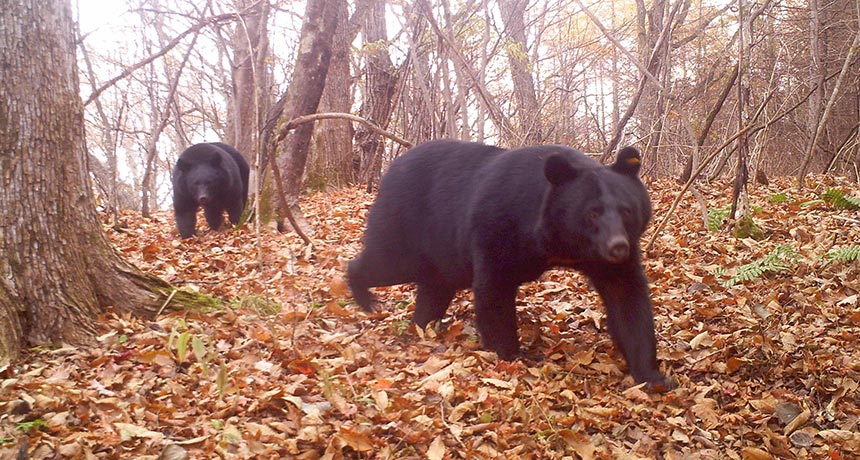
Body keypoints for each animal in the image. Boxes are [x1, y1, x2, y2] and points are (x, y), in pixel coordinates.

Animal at [348, 139, 673, 389]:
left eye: (626, 210)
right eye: (592, 213)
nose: (617, 247)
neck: (562, 243)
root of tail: (392, 168)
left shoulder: (601, 259)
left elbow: (626, 297)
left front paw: (653, 375)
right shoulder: (500, 224)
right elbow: (495, 289)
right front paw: (513, 354)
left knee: (434, 288)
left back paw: (423, 324)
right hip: (407, 224)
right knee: (386, 262)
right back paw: (365, 296)